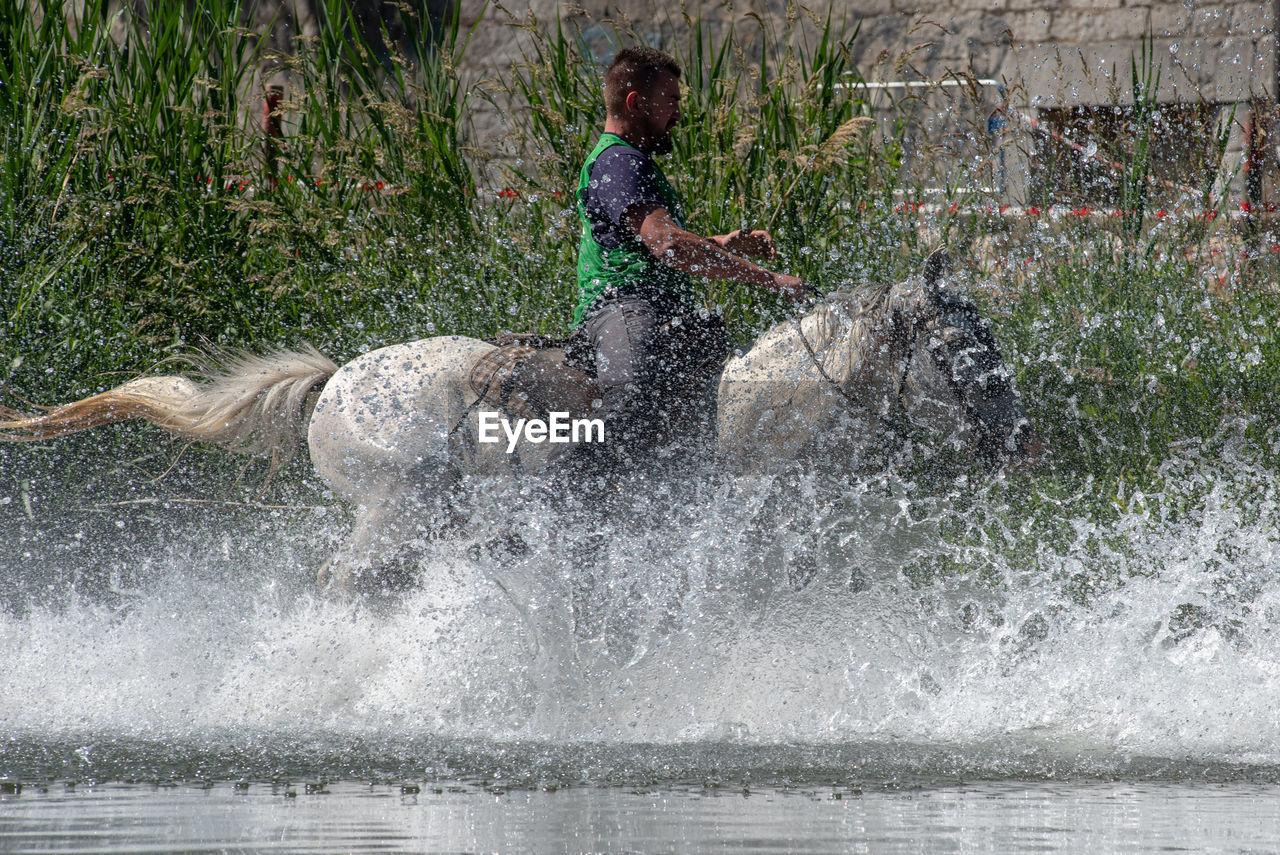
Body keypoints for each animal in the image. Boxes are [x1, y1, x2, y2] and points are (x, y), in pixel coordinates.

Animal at [0, 250, 1039, 591]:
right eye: (961, 349)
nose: (1023, 438)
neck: (759, 420)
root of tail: (335, 383)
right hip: (394, 511)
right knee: (342, 582)